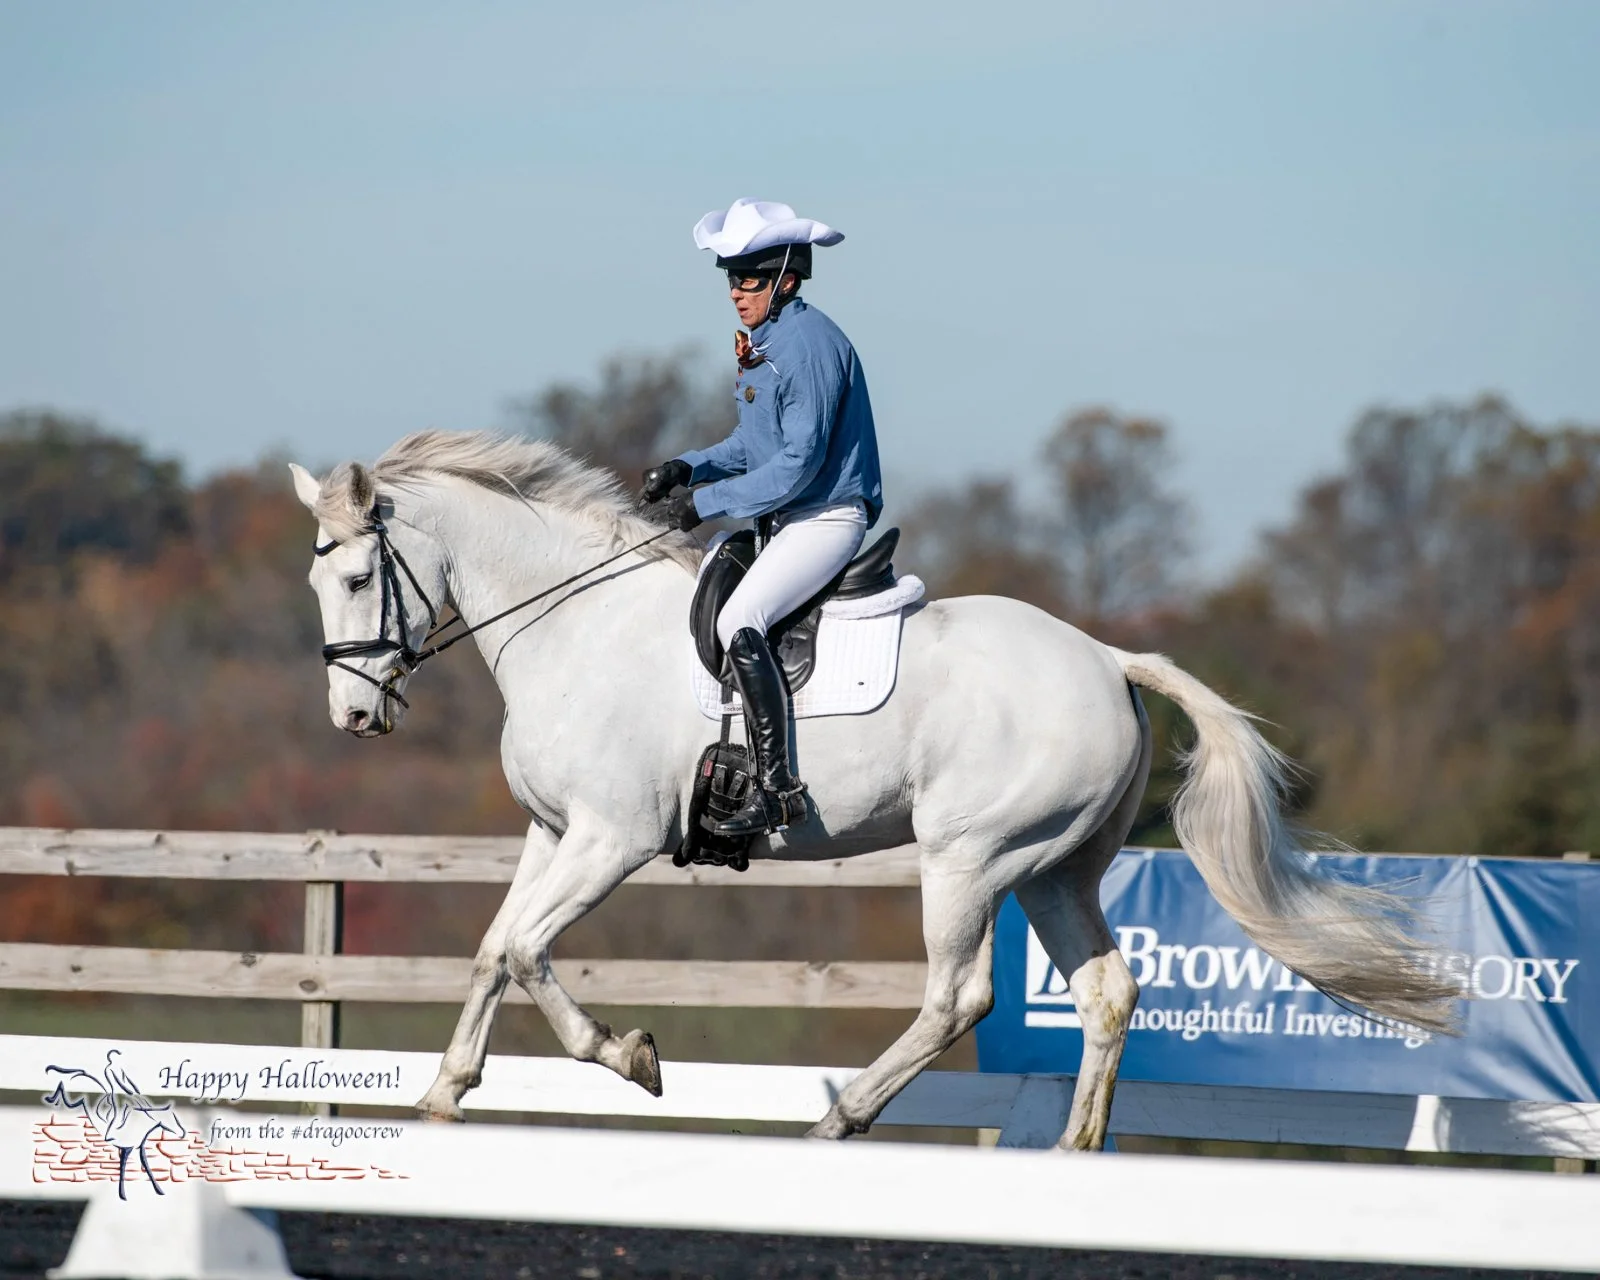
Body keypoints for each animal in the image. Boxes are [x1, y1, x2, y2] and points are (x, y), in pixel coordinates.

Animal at [289, 429, 1456, 1149]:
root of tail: (1107, 658)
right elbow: (496, 949)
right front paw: (446, 1092)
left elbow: (532, 952)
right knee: (1106, 994)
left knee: (958, 998)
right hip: (1057, 870)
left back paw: (838, 1118)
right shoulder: (551, 832)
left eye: (355, 575)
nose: (351, 719)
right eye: (316, 579)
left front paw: (632, 1056)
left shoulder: (613, 839)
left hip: (969, 857)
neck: (571, 623)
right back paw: (1072, 1154)